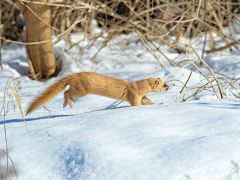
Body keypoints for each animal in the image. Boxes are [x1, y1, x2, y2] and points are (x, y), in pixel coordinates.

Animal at [25, 71, 171, 114]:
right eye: (164, 85)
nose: (170, 88)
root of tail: (74, 75)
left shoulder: (142, 96)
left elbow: (148, 101)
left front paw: (160, 103)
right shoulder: (133, 94)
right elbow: (136, 104)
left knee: (66, 90)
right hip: (81, 90)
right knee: (67, 92)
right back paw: (69, 104)